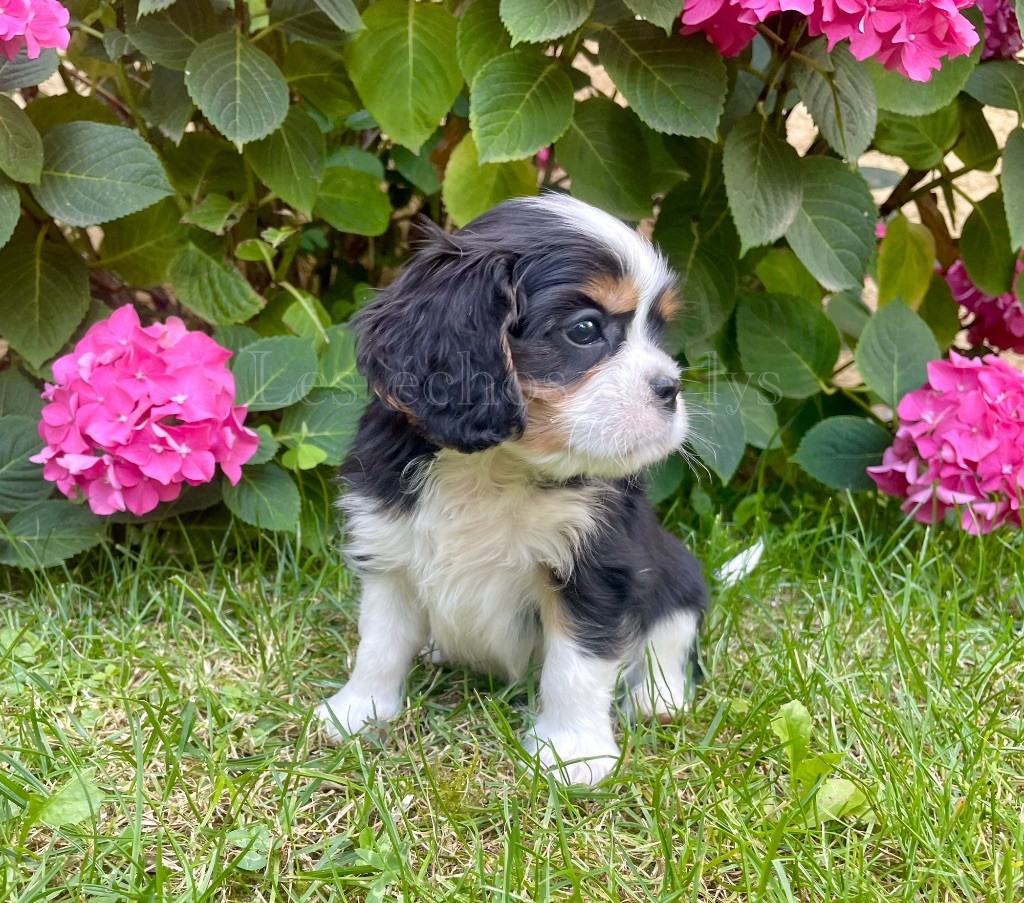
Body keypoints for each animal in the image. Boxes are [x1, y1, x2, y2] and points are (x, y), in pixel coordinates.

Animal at [315, 194, 709, 785]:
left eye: (659, 331)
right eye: (585, 330)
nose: (671, 388)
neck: (495, 465)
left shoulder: (597, 568)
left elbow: (577, 665)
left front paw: (573, 754)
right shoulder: (389, 552)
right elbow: (380, 642)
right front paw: (358, 712)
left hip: (680, 573)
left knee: (670, 641)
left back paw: (659, 700)